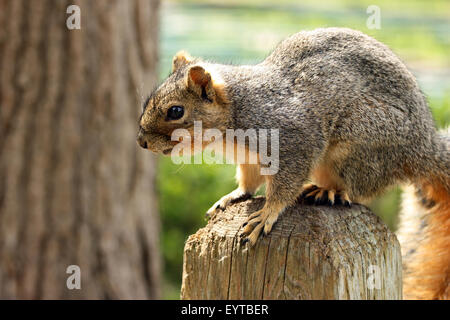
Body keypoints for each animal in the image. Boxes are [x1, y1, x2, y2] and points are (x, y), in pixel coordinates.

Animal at [138, 27, 450, 300]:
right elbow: (249, 182)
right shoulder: (249, 159)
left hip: (360, 140)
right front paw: (234, 196)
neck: (236, 112)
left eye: (175, 111)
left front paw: (266, 214)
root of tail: (424, 148)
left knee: (359, 190)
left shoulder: (292, 140)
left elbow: (284, 185)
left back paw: (328, 190)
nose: (141, 141)